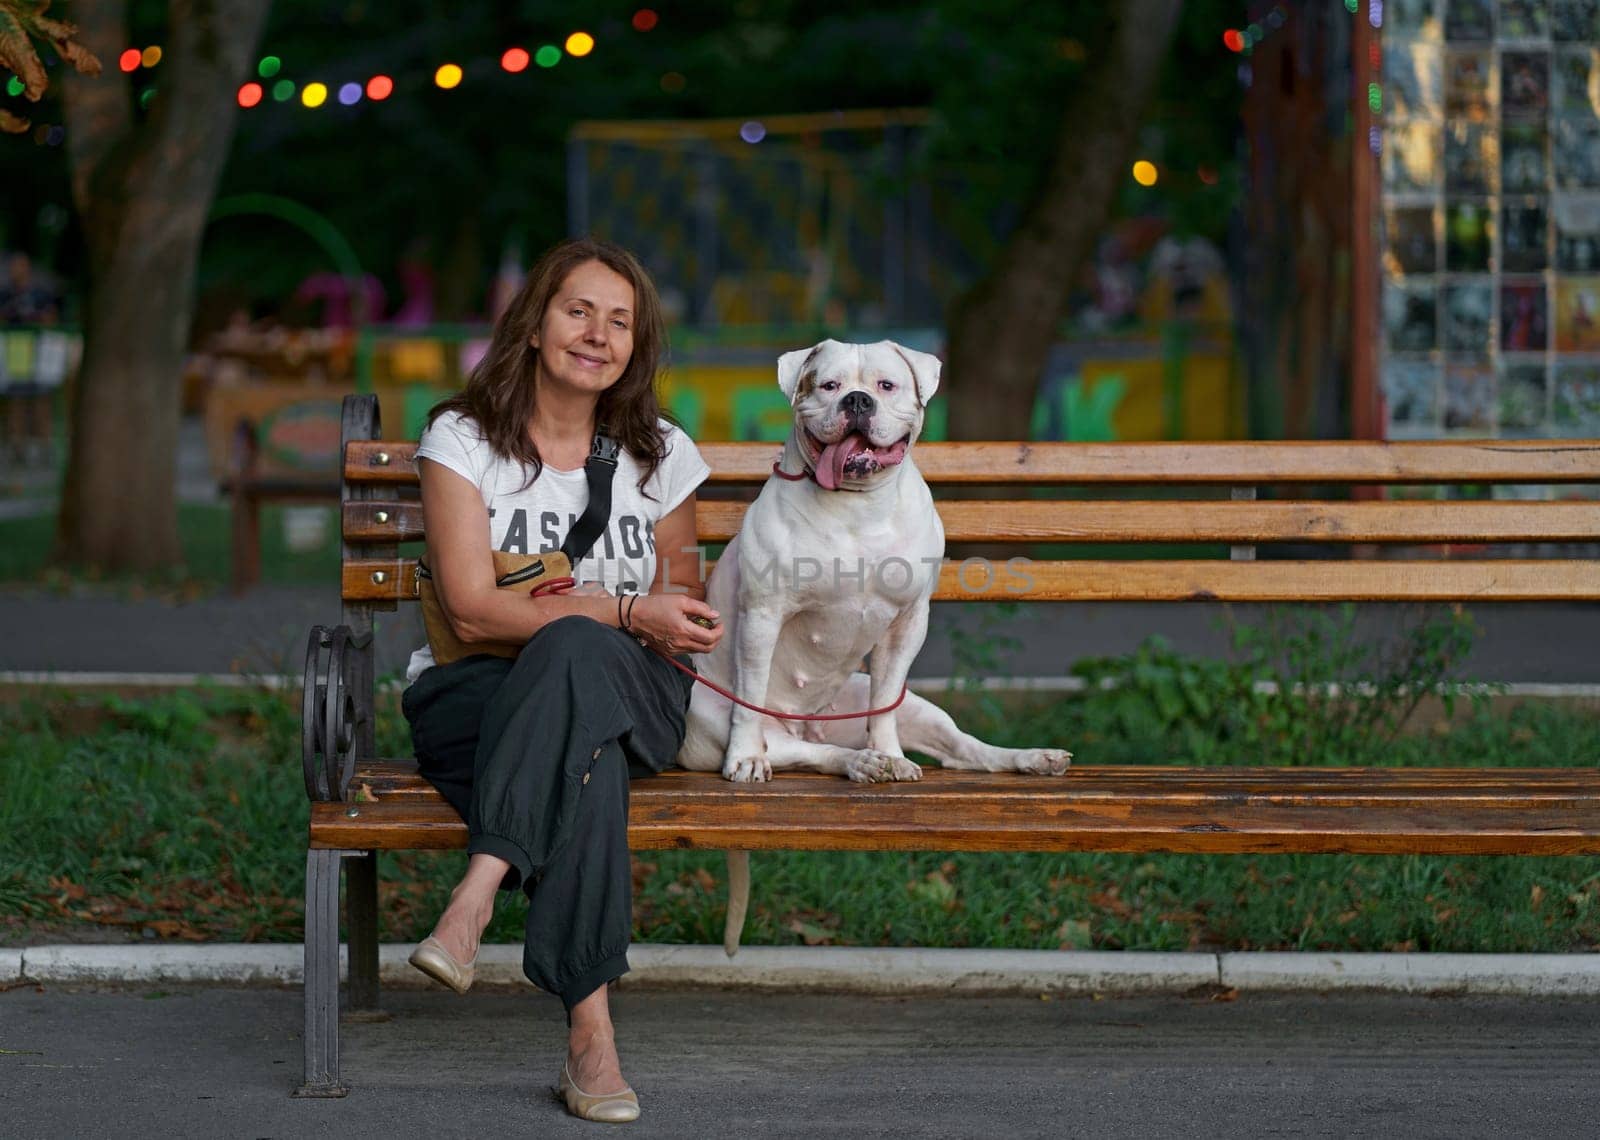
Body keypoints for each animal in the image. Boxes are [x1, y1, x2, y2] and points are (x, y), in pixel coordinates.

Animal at [675, 337, 1075, 954]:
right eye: (828, 386)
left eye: (885, 386)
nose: (858, 400)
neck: (857, 506)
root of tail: (810, 723)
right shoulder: (762, 614)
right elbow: (752, 696)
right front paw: (746, 760)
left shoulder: (909, 622)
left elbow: (889, 695)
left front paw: (892, 753)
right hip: (721, 719)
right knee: (801, 752)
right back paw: (856, 763)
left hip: (912, 707)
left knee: (964, 752)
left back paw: (1022, 759)